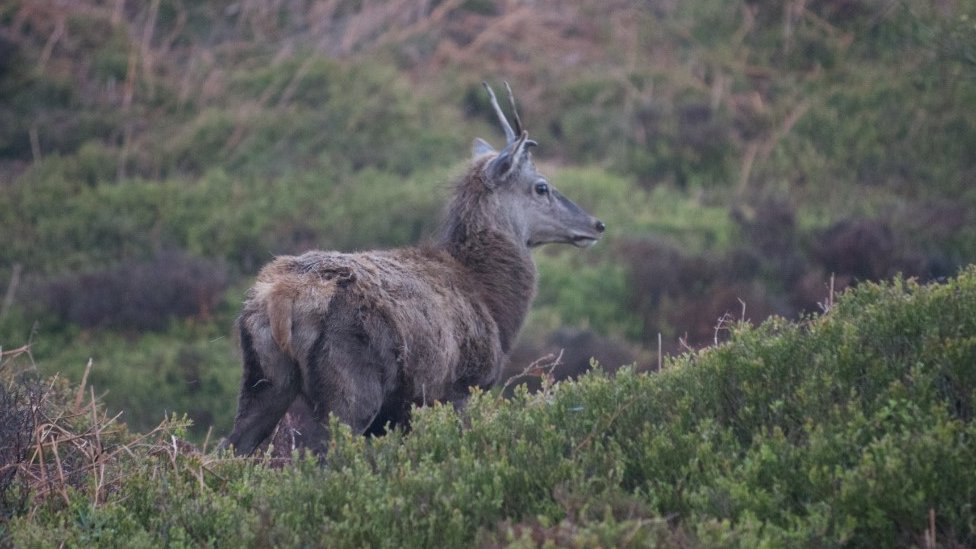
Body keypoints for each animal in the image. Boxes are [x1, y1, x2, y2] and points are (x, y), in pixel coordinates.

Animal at [220, 83, 604, 456]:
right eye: (542, 186)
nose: (596, 224)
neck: (492, 302)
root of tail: (280, 298)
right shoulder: (459, 389)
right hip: (350, 383)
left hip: (262, 377)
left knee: (233, 445)